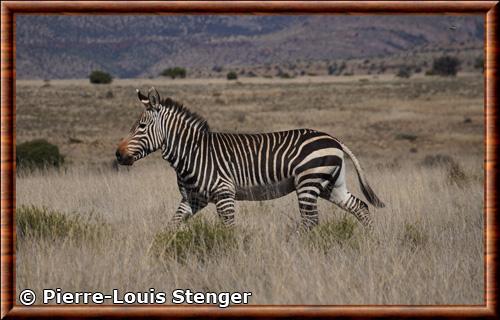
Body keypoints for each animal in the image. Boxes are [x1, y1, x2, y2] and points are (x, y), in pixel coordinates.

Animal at [115, 86, 384, 229]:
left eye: (141, 126)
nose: (118, 155)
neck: (192, 152)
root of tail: (335, 140)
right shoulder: (193, 198)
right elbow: (172, 225)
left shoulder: (224, 194)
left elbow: (229, 230)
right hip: (331, 185)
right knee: (360, 207)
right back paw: (370, 243)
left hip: (309, 183)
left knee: (311, 221)